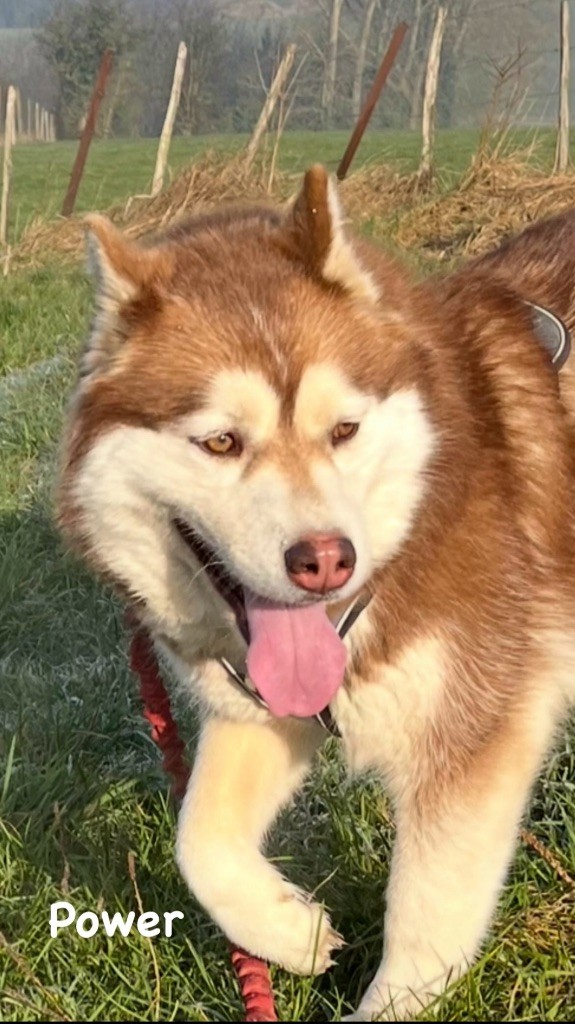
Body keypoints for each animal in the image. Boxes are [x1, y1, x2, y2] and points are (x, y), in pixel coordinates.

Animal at [57, 166, 575, 1020]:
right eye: (220, 441)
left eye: (344, 431)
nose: (327, 561)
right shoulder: (259, 709)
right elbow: (198, 840)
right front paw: (287, 932)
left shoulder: (473, 739)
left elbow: (424, 917)